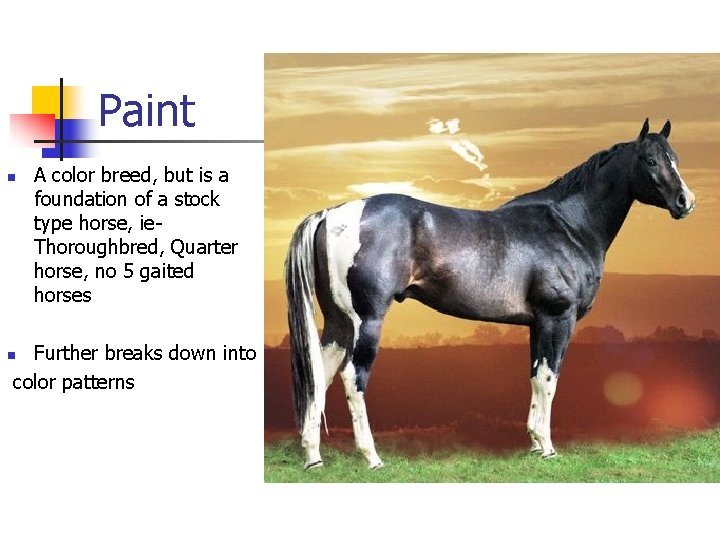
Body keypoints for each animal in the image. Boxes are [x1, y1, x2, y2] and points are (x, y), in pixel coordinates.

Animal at [284, 119, 695, 469]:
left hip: (338, 324)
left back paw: (313, 457)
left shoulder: (537, 323)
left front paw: (535, 444)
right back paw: (371, 457)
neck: (568, 226)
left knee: (320, 375)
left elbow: (535, 376)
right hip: (366, 322)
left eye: (675, 158)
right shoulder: (557, 318)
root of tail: (333, 213)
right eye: (650, 160)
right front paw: (547, 448)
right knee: (353, 378)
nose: (685, 201)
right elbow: (550, 378)